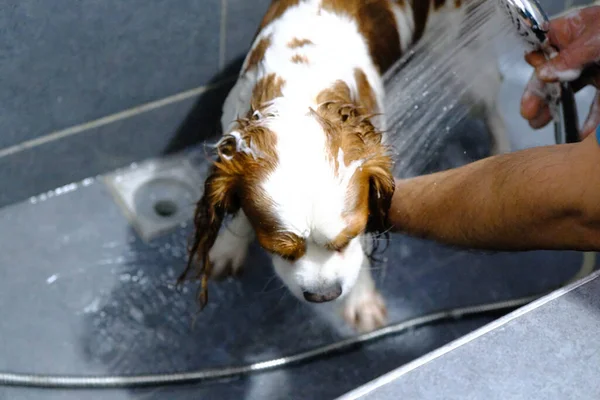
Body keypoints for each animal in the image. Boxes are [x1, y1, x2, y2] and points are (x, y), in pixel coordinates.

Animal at [180, 0, 508, 332]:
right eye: (279, 249)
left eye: (348, 238)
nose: (324, 295)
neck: (302, 91)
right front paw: (228, 246)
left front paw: (360, 301)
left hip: (456, 60)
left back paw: (502, 150)